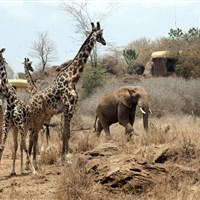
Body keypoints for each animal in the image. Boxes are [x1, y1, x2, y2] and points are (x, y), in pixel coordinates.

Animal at [25, 21, 106, 167]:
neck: (73, 78)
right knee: (33, 135)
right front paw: (66, 157)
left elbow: (65, 133)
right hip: (36, 116)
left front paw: (64, 156)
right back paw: (31, 163)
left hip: (41, 117)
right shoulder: (68, 108)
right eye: (101, 34)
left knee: (34, 134)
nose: (104, 42)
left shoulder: (69, 109)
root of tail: (29, 103)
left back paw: (32, 163)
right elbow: (66, 133)